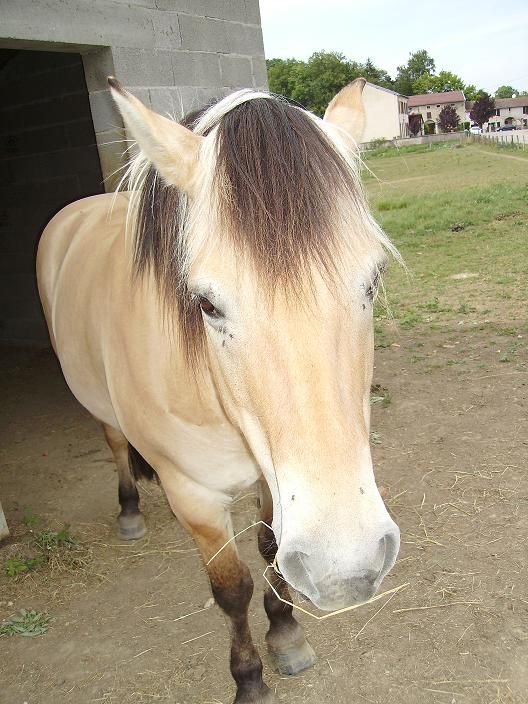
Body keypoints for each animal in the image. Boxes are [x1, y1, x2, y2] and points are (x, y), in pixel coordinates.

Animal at [36, 77, 400, 704]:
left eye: (372, 281)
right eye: (206, 303)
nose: (345, 568)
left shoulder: (273, 480)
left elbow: (272, 553)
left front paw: (287, 637)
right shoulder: (196, 497)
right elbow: (231, 587)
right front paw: (249, 678)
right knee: (116, 444)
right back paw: (129, 510)